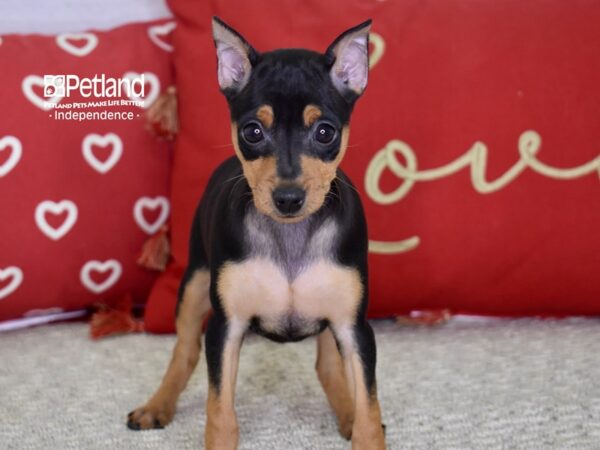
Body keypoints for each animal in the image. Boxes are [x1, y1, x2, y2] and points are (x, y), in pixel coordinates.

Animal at [128, 17, 386, 450]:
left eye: (325, 133)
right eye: (252, 131)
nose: (288, 198)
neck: (290, 237)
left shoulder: (356, 329)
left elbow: (369, 410)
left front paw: (361, 423)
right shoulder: (226, 328)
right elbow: (220, 413)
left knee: (327, 365)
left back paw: (345, 411)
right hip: (195, 283)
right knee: (185, 350)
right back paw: (156, 405)